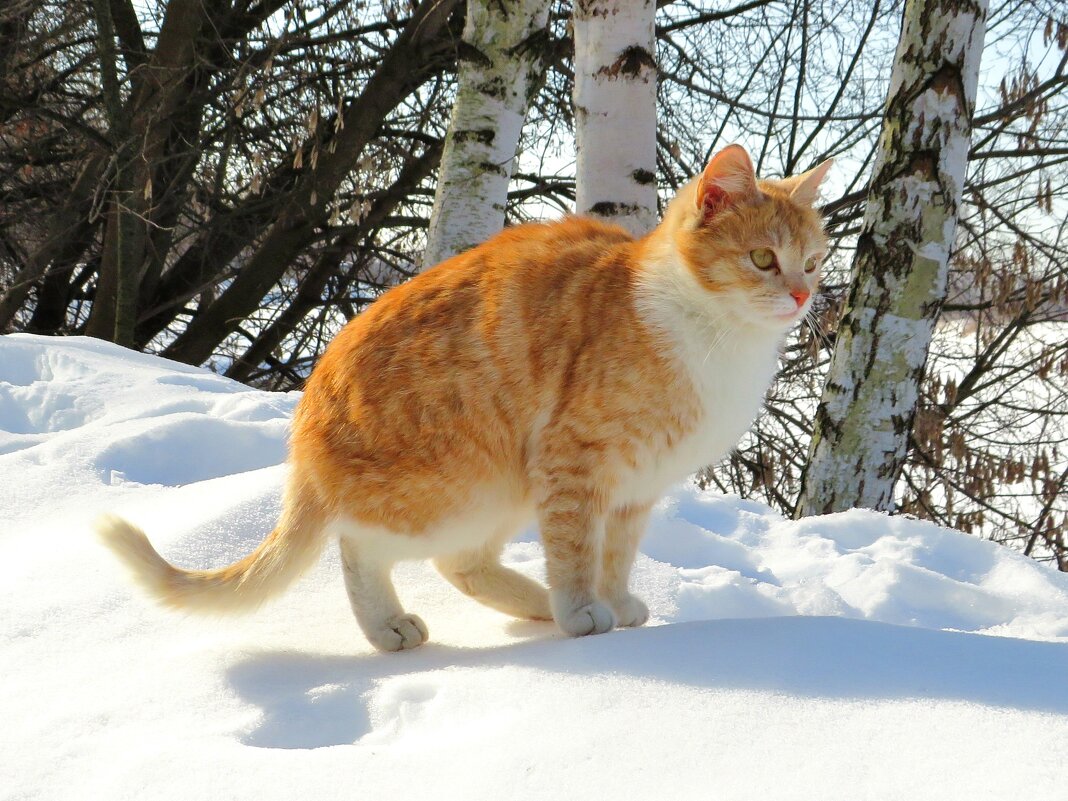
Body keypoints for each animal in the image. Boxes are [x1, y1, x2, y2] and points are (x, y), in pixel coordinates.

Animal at [98, 146, 833, 653]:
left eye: (815, 262)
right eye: (763, 259)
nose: (802, 296)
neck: (712, 334)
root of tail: (305, 422)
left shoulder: (635, 486)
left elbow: (615, 554)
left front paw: (615, 602)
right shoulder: (575, 458)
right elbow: (576, 547)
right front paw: (580, 611)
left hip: (501, 488)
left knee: (462, 563)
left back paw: (532, 602)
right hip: (463, 480)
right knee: (361, 545)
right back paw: (394, 624)